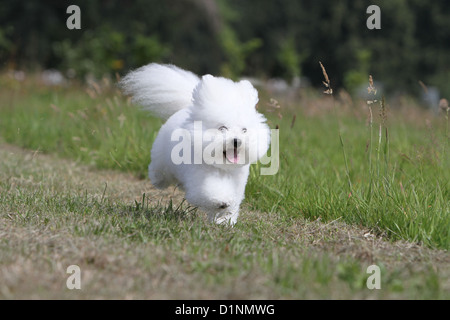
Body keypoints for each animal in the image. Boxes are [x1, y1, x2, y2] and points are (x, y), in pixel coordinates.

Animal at [120, 63, 270, 225]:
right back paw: (158, 180)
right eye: (222, 128)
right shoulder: (200, 179)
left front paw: (224, 221)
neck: (222, 167)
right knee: (160, 172)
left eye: (244, 130)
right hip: (162, 160)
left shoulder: (237, 183)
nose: (237, 141)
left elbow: (232, 205)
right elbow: (212, 191)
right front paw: (221, 202)